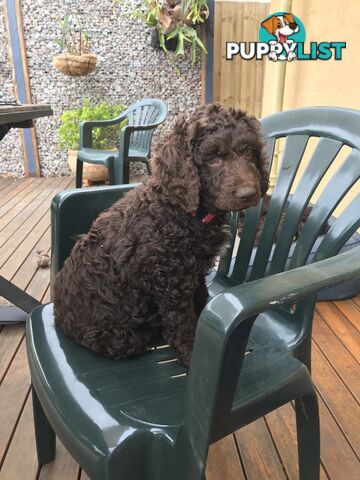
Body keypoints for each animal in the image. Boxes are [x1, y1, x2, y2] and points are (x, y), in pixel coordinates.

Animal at [52, 103, 268, 366]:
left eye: (249, 152)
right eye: (213, 159)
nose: (249, 193)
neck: (183, 212)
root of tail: (58, 317)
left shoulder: (194, 271)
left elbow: (201, 297)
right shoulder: (171, 280)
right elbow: (182, 321)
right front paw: (192, 353)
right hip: (122, 337)